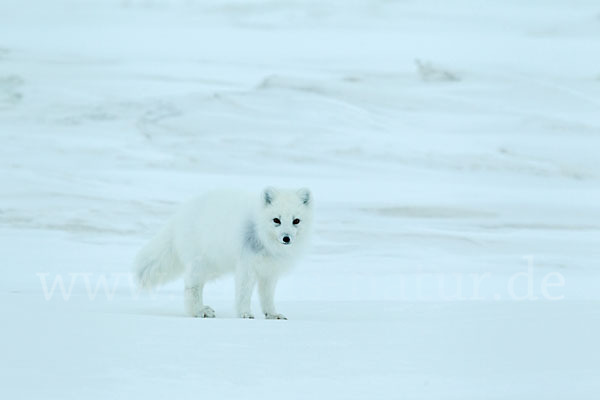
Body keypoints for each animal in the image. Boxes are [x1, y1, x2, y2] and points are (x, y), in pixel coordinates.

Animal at [133, 186, 312, 320]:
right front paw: (245, 313)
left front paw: (272, 314)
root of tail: (179, 216)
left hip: (214, 266)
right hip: (201, 264)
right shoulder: (246, 267)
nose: (286, 238)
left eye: (296, 221)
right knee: (191, 286)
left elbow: (267, 296)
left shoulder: (270, 272)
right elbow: (244, 293)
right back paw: (198, 311)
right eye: (276, 220)